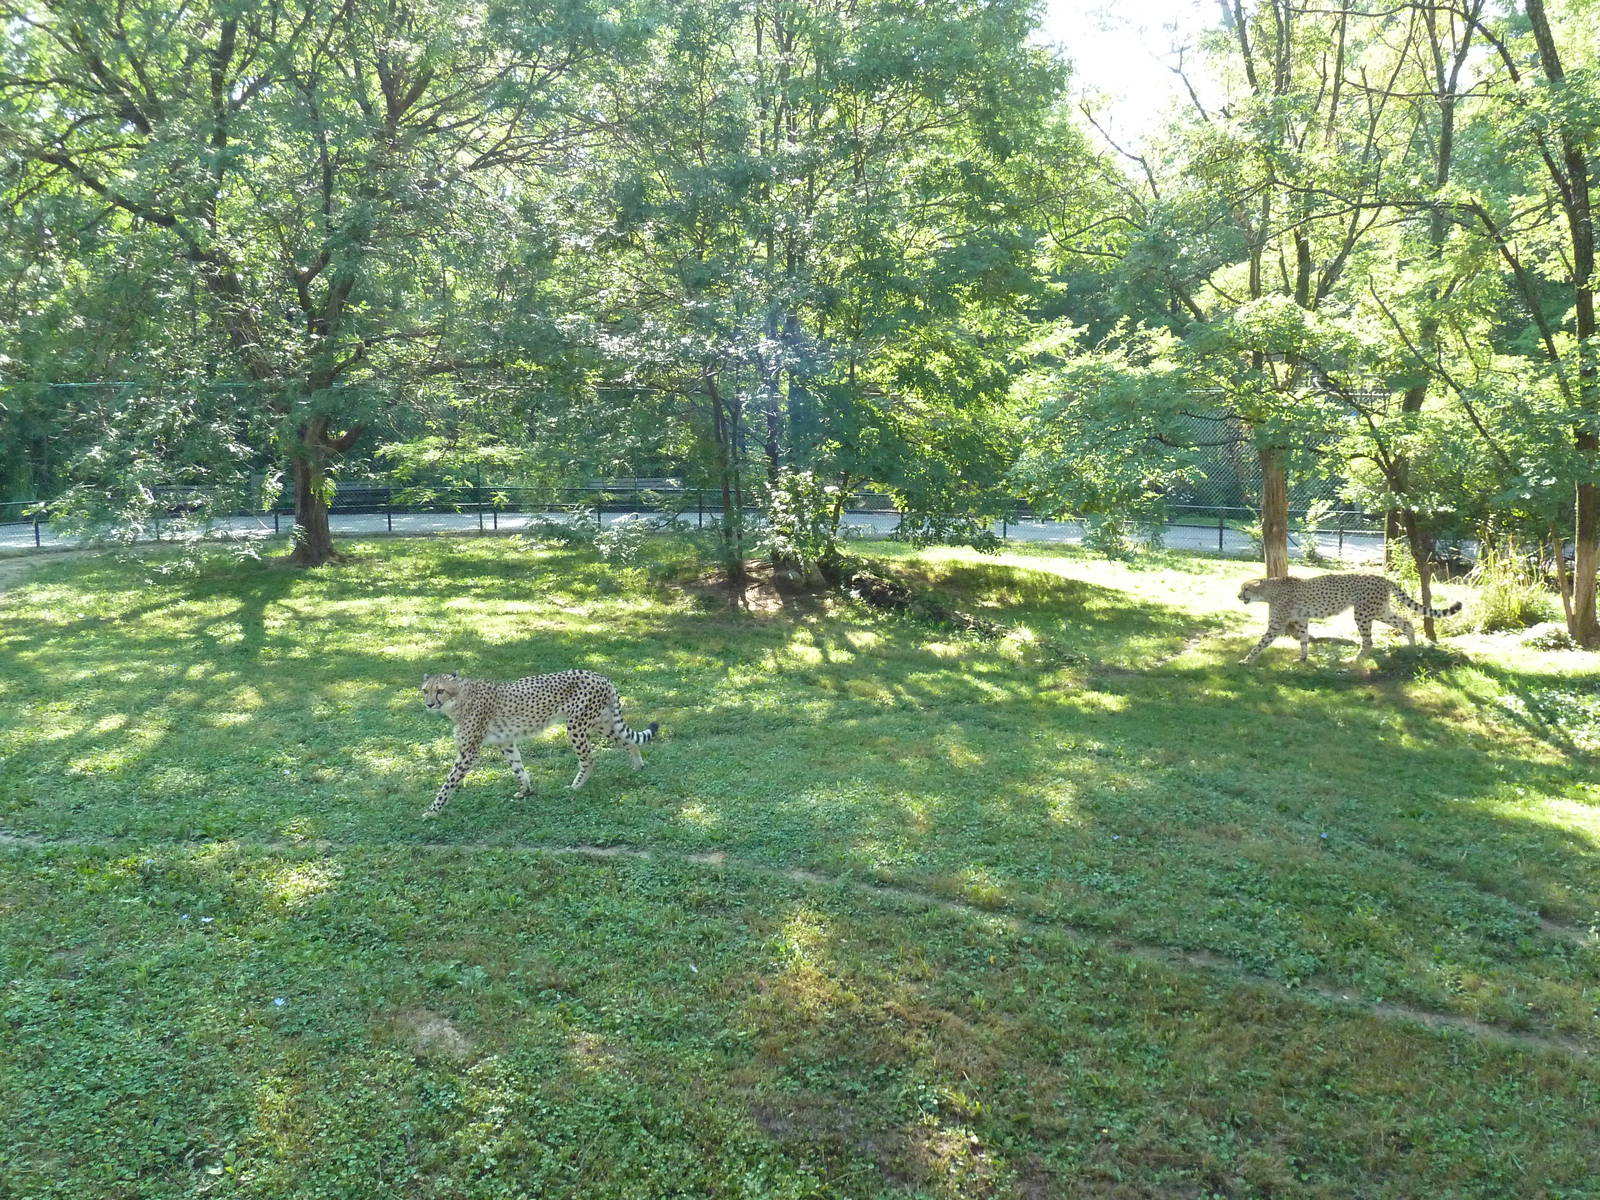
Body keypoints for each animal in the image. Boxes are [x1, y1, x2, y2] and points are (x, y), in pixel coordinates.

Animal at [420, 669, 658, 816]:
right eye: (425, 690)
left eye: (440, 690)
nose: (429, 704)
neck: (458, 698)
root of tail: (600, 676)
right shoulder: (506, 741)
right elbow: (518, 767)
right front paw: (526, 790)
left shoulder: (468, 752)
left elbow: (449, 782)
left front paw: (433, 810)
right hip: (601, 722)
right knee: (629, 741)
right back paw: (638, 766)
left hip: (577, 725)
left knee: (590, 759)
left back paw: (576, 786)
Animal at [1238, 572, 1462, 664]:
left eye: (1245, 588)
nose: (1239, 596)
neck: (1268, 590)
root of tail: (1383, 578)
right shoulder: (1302, 620)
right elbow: (1303, 640)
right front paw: (1303, 658)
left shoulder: (1276, 625)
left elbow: (1261, 643)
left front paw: (1246, 660)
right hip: (1380, 611)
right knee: (1406, 623)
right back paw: (1412, 649)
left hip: (1363, 613)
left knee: (1368, 641)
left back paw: (1354, 659)